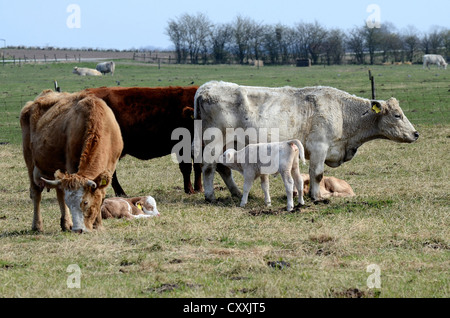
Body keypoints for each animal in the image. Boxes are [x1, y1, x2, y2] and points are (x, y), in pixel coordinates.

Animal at [195, 80, 420, 202]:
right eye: (397, 115)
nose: (416, 133)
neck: (342, 112)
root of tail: (208, 87)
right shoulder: (319, 147)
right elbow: (317, 174)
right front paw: (317, 196)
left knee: (223, 169)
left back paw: (236, 193)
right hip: (214, 142)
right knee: (208, 167)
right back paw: (210, 196)